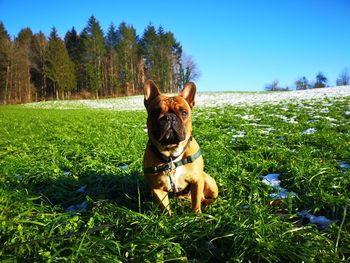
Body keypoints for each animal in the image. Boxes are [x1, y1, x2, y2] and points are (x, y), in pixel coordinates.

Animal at [143, 80, 219, 214]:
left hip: (208, 182)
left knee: (207, 198)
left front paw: (197, 216)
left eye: (184, 113)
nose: (169, 117)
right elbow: (165, 207)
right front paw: (168, 217)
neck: (171, 154)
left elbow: (196, 203)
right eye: (155, 112)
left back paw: (208, 203)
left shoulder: (197, 181)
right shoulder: (157, 189)